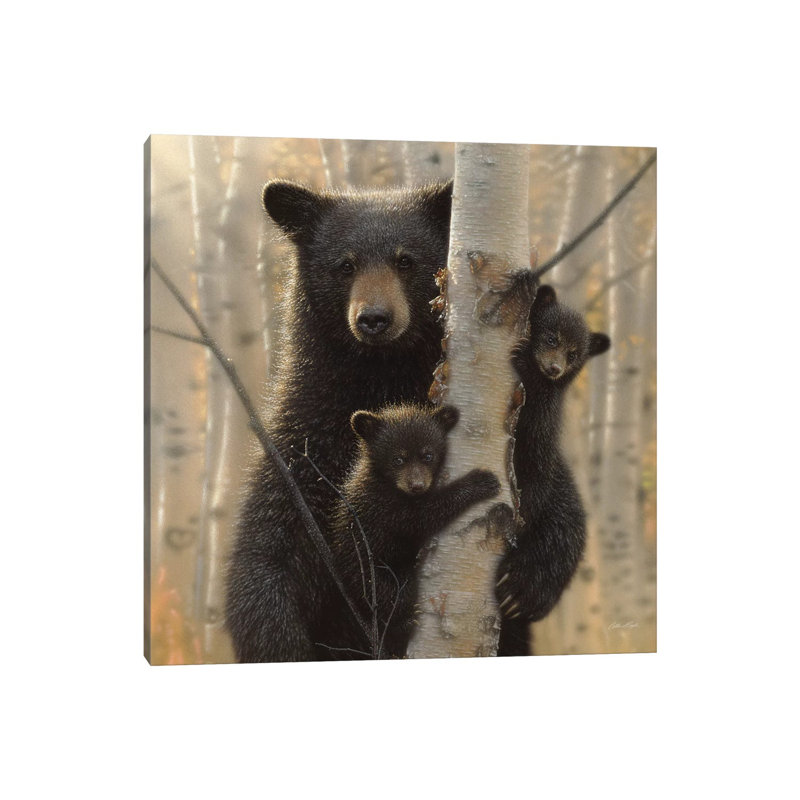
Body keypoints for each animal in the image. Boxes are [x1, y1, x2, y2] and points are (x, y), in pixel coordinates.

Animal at [225, 180, 454, 662]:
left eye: (406, 260)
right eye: (345, 265)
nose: (374, 319)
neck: (380, 380)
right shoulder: (304, 449)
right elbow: (266, 558)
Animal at [315, 404, 501, 659]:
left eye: (428, 455)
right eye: (397, 459)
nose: (417, 485)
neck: (386, 482)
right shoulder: (383, 506)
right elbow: (422, 517)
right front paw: (480, 481)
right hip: (371, 573)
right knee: (390, 595)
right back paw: (403, 622)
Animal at [496, 284, 610, 656]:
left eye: (574, 353)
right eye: (550, 337)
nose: (555, 368)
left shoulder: (541, 431)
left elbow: (535, 471)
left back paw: (519, 591)